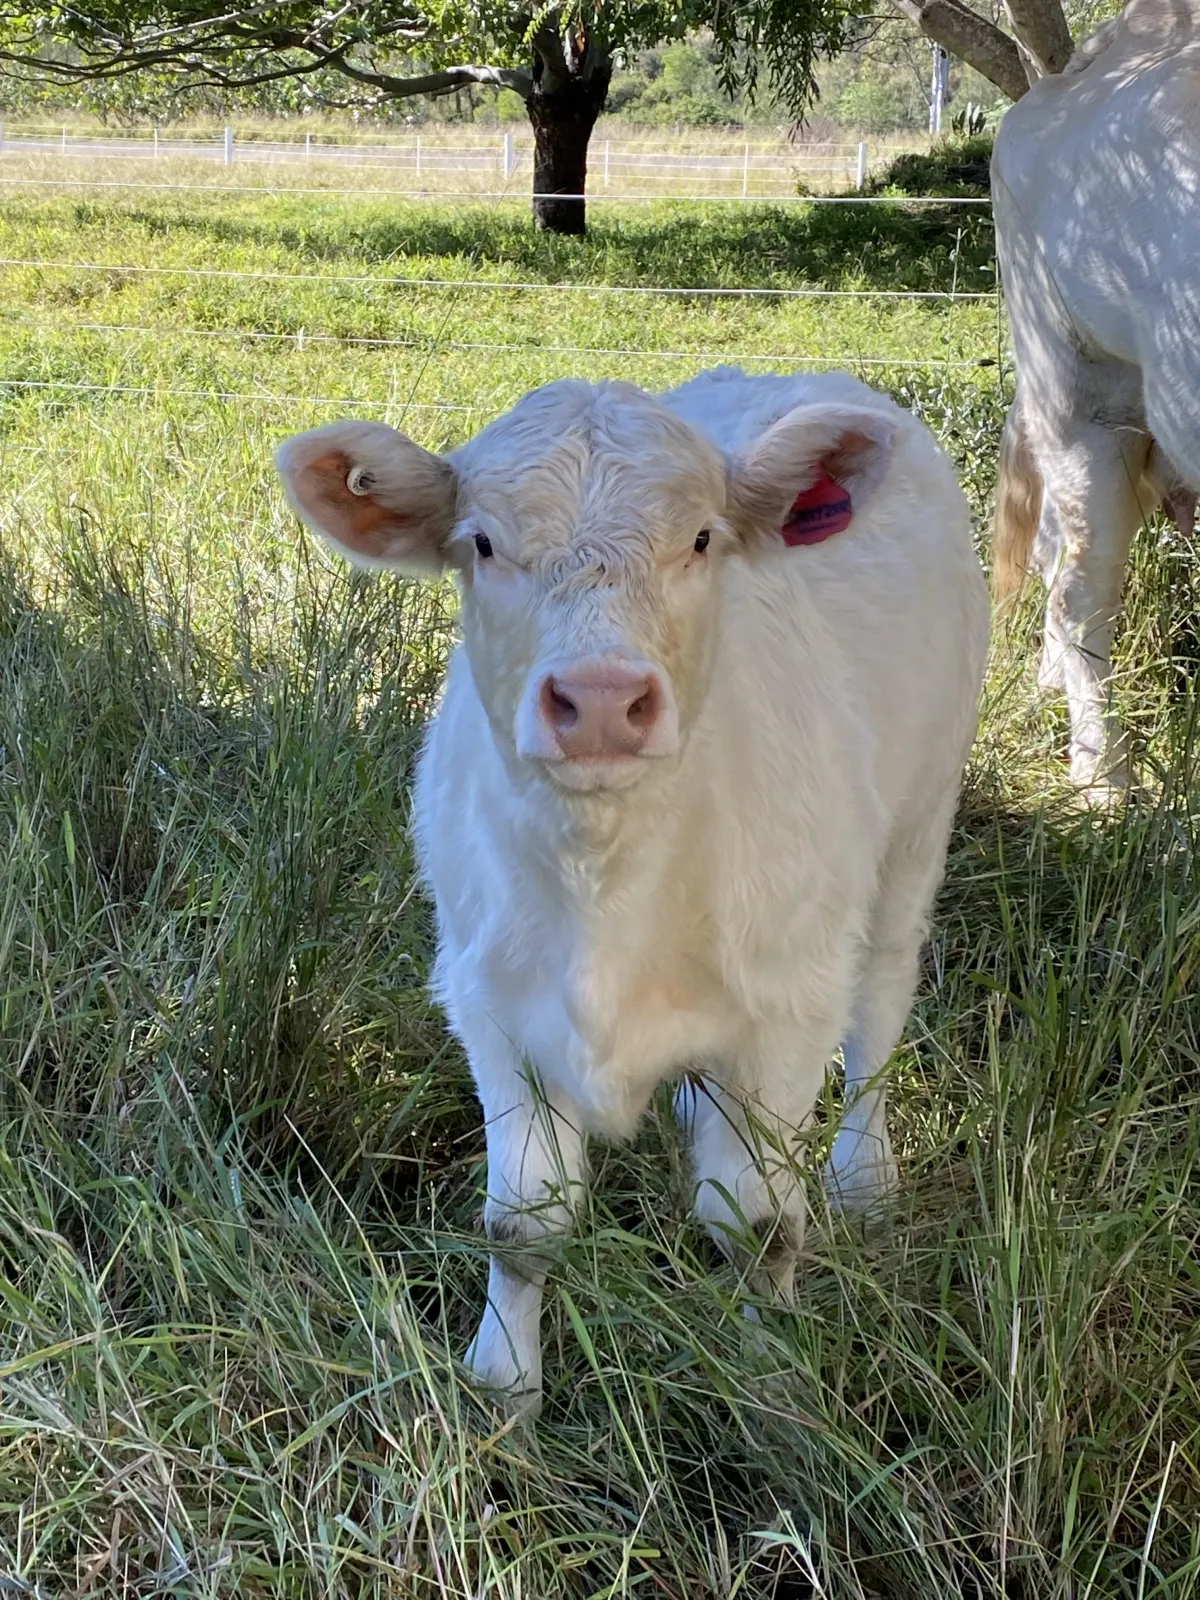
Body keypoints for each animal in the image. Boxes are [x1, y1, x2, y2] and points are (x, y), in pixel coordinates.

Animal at [276, 368, 992, 1420]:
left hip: (916, 828)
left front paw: (772, 1383)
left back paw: (866, 1179)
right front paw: (503, 1391)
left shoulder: (787, 1008)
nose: (604, 700)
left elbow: (759, 1226)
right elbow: (521, 1226)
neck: (607, 885)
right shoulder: (494, 1009)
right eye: (481, 543)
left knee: (880, 1013)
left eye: (700, 539)